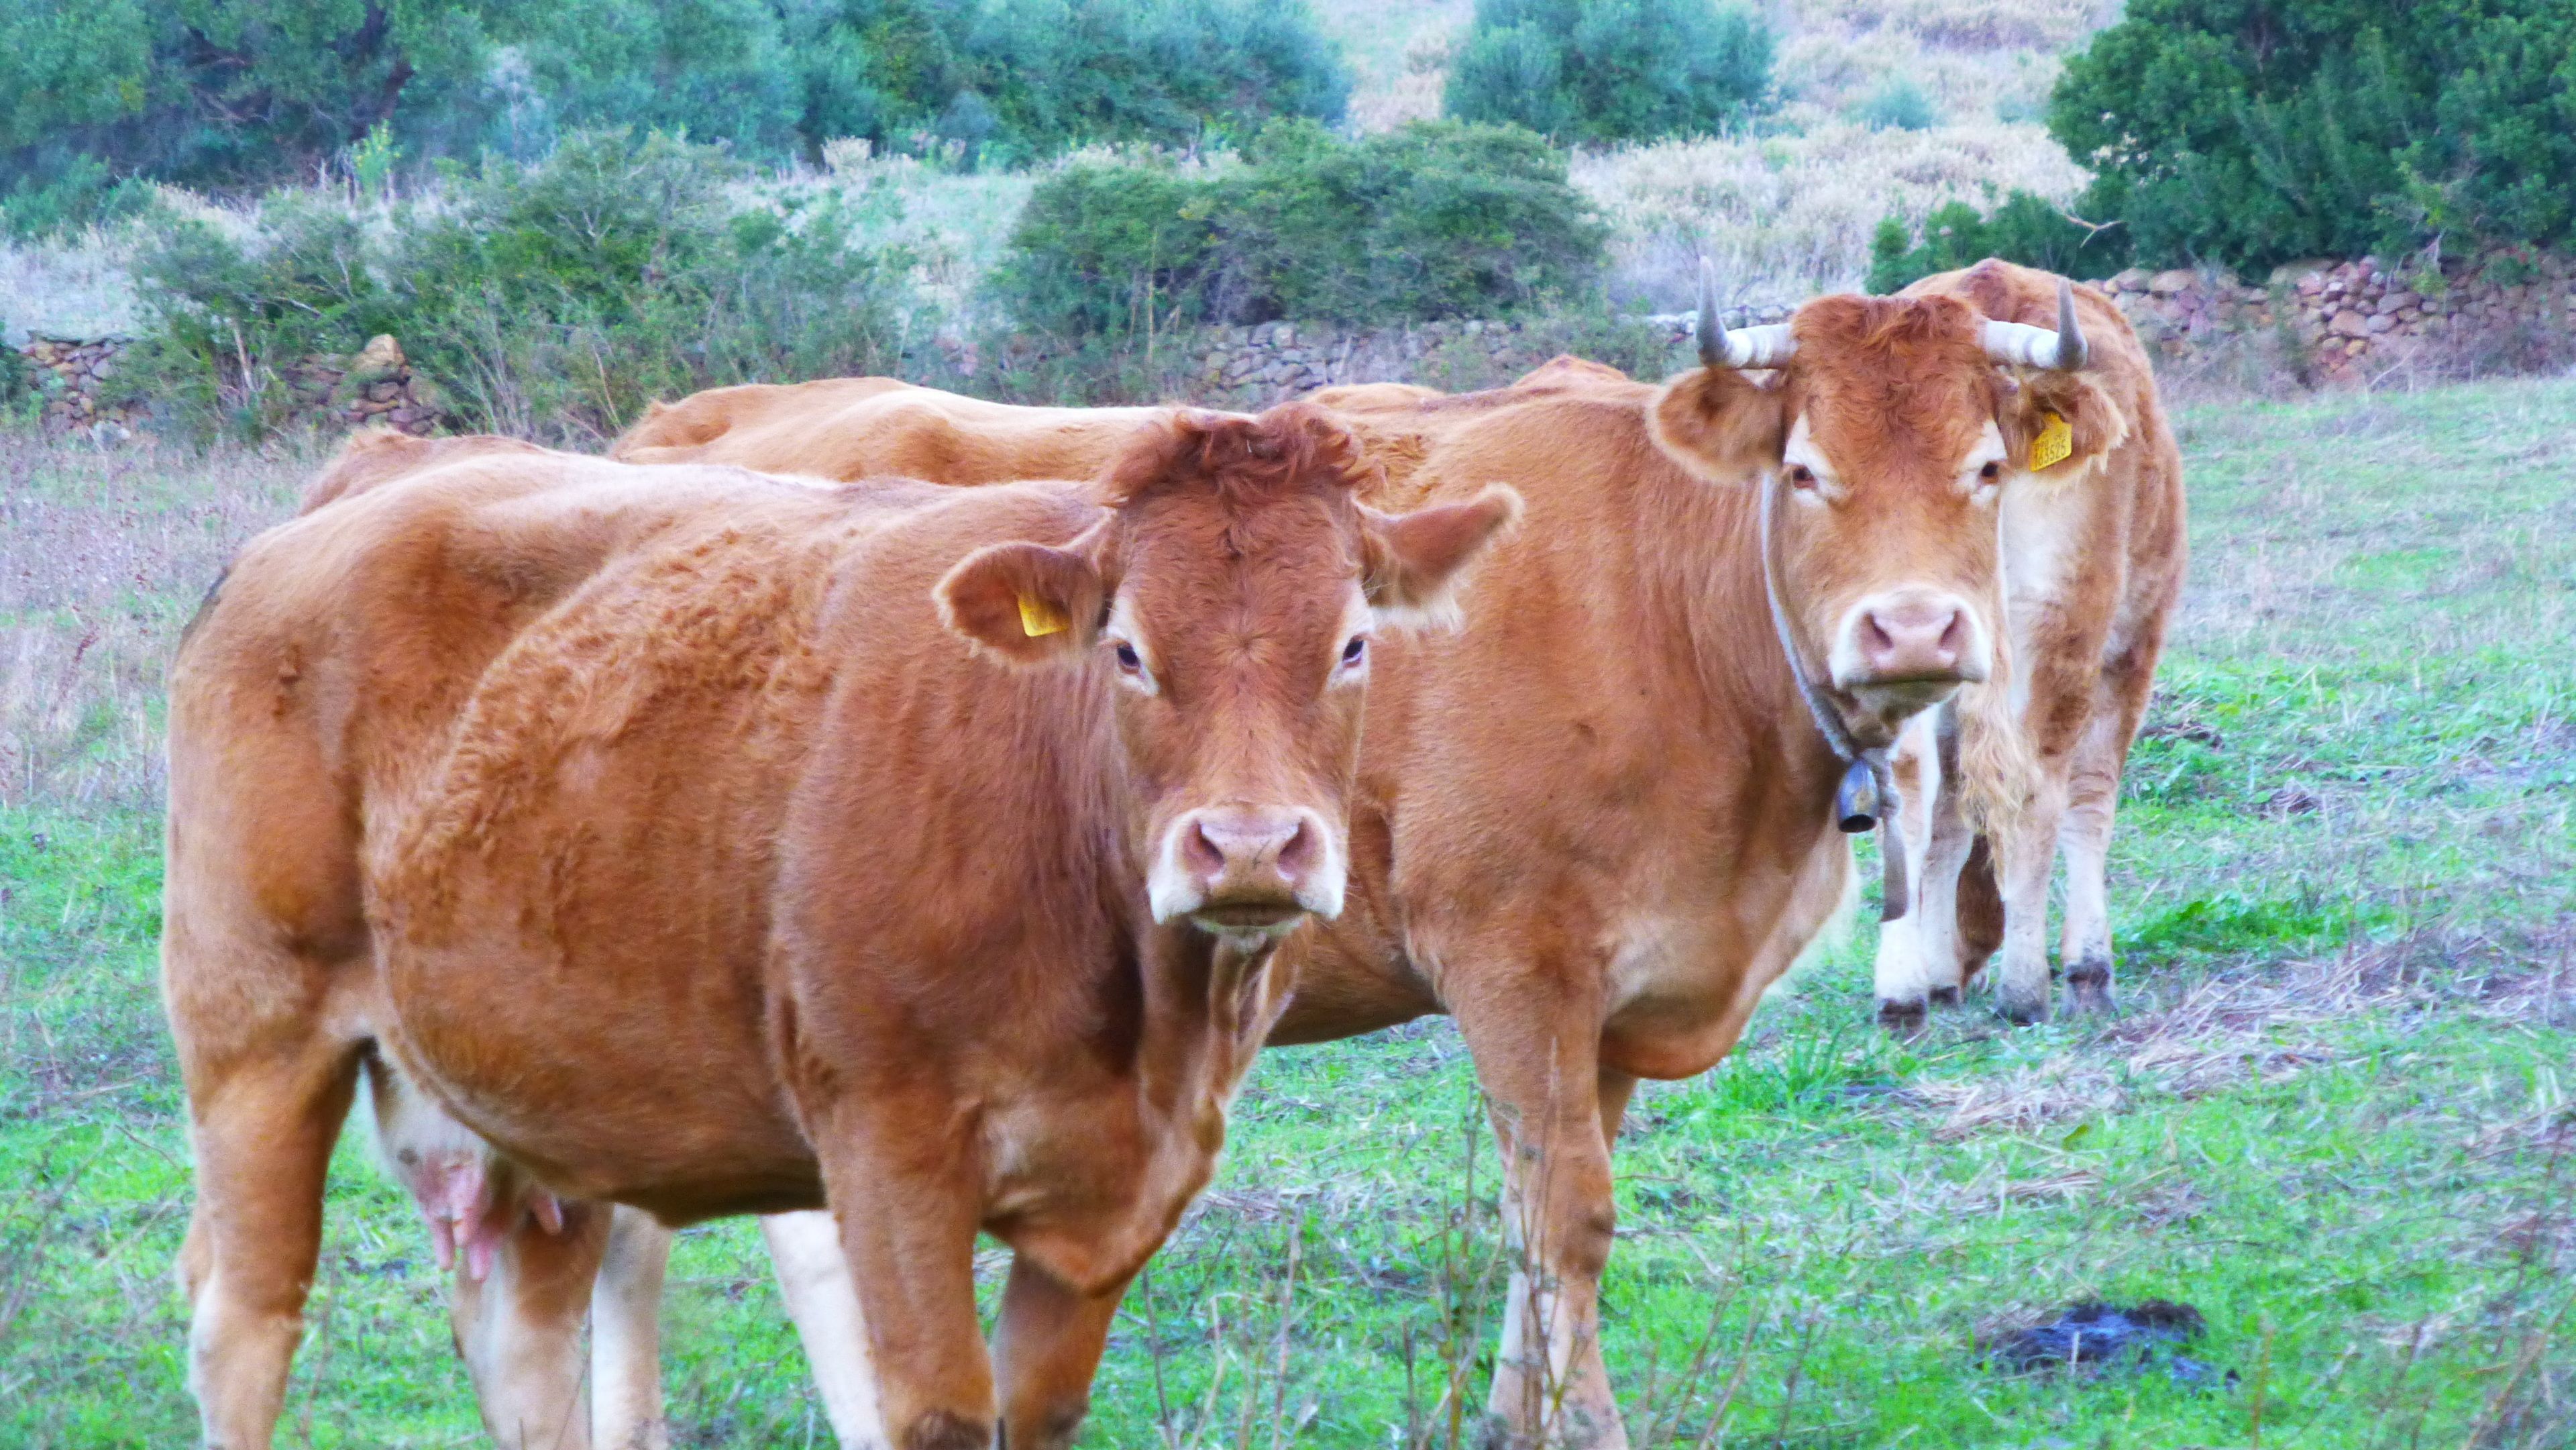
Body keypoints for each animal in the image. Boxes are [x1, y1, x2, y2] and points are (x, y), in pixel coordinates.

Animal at [160, 409, 1518, 1450]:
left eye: (1354, 642)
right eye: (1128, 651)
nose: (1246, 846)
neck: (1142, 1023)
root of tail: (367, 486)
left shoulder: (1121, 1193)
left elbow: (1037, 1411)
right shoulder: (889, 1150)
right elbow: (939, 1411)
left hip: (529, 1098)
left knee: (522, 1342)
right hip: (255, 1034)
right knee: (246, 1317)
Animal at [571, 264, 2117, 1447]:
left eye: (1986, 471)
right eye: (1806, 470)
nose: (1912, 630)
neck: (1676, 617)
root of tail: (689, 425)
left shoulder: (1616, 1001)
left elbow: (1538, 1224)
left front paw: (1505, 1417)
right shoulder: (1513, 956)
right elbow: (1570, 1218)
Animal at [1867, 260, 2187, 1027]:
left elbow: (1948, 814)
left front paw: (1935, 975)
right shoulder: (2131, 649)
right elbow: (2091, 797)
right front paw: (2087, 966)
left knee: (1911, 791)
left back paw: (1901, 994)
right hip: (2063, 627)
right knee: (2040, 787)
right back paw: (2024, 987)